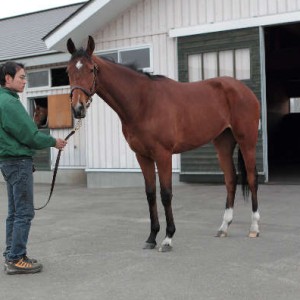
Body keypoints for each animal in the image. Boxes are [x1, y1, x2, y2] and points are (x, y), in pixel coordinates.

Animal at [66, 34, 260, 251]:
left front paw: (168, 237)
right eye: (68, 71)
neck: (143, 102)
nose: (78, 108)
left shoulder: (163, 154)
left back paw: (254, 228)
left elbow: (166, 194)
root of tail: (243, 89)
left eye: (91, 69)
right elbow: (150, 193)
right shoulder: (142, 156)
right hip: (223, 143)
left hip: (247, 141)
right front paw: (151, 237)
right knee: (230, 180)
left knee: (252, 179)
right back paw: (224, 227)